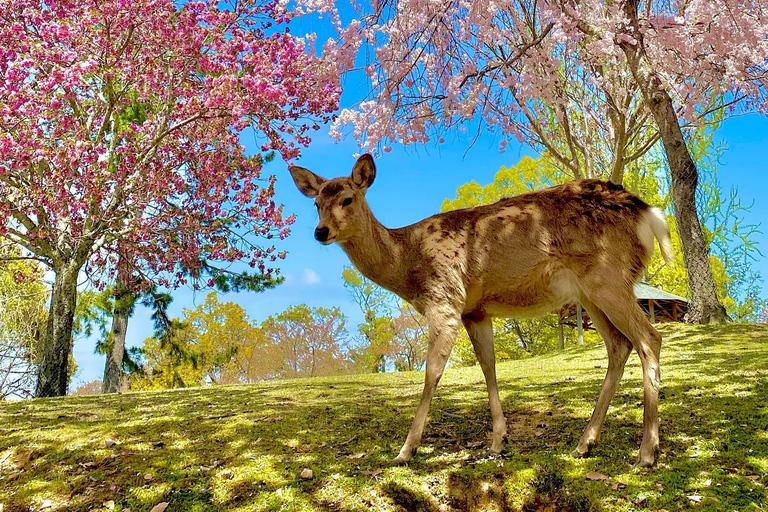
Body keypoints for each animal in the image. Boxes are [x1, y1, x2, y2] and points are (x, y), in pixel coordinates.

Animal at [290, 153, 672, 468]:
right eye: (316, 203)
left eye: (347, 198)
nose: (320, 231)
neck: (408, 262)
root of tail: (649, 215)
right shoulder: (475, 311)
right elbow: (488, 365)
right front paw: (499, 441)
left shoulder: (445, 299)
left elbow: (432, 372)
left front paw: (405, 450)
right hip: (590, 292)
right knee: (619, 345)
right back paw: (584, 443)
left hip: (608, 276)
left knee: (649, 338)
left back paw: (647, 452)